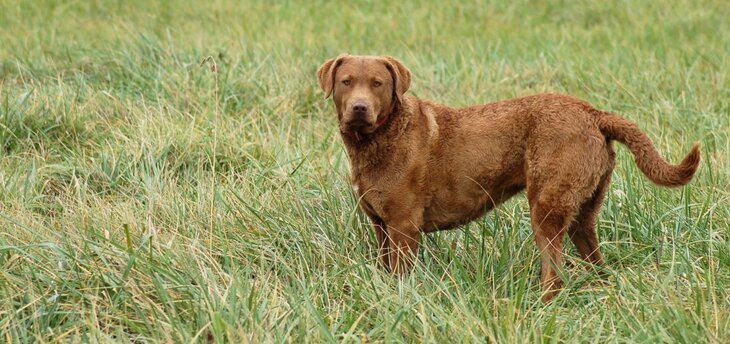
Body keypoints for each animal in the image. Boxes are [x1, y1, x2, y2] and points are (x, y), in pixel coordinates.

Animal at [314, 53, 700, 300]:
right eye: (346, 82)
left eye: (378, 84)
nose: (359, 108)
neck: (377, 140)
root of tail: (593, 112)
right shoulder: (381, 225)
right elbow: (384, 267)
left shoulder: (404, 226)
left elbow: (401, 274)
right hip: (584, 208)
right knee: (594, 258)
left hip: (547, 205)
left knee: (554, 272)